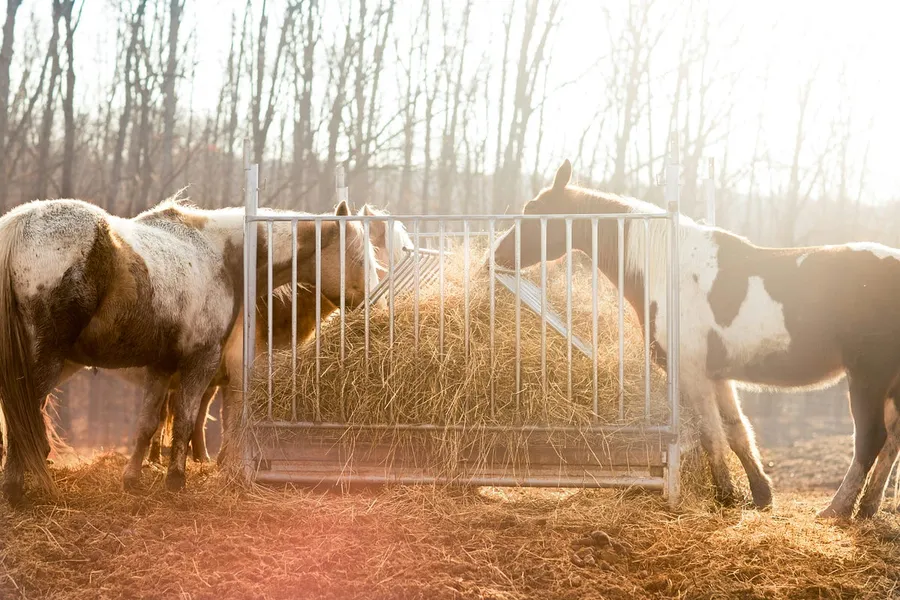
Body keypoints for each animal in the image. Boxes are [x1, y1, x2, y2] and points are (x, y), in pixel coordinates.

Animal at [0, 196, 378, 505]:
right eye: (360, 259)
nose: (375, 304)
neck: (221, 255)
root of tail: (19, 225)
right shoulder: (202, 362)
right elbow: (185, 418)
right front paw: (176, 480)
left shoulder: (162, 366)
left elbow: (147, 423)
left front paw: (133, 478)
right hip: (47, 361)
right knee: (23, 417)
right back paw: (17, 487)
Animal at [492, 159, 900, 519]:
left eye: (533, 210)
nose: (497, 254)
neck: (668, 269)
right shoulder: (718, 377)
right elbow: (736, 433)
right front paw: (760, 495)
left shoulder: (692, 374)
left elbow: (710, 435)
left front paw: (726, 494)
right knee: (893, 440)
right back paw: (867, 508)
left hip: (868, 377)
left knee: (871, 440)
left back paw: (837, 509)